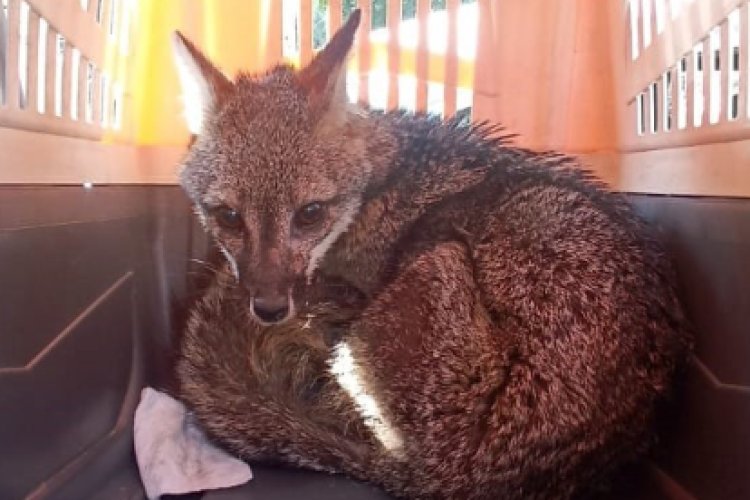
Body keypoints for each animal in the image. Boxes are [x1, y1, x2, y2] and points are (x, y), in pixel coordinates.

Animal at [173, 11, 696, 500]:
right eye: (228, 217)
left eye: (309, 214)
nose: (268, 309)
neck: (381, 180)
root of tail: (446, 480)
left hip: (436, 259)